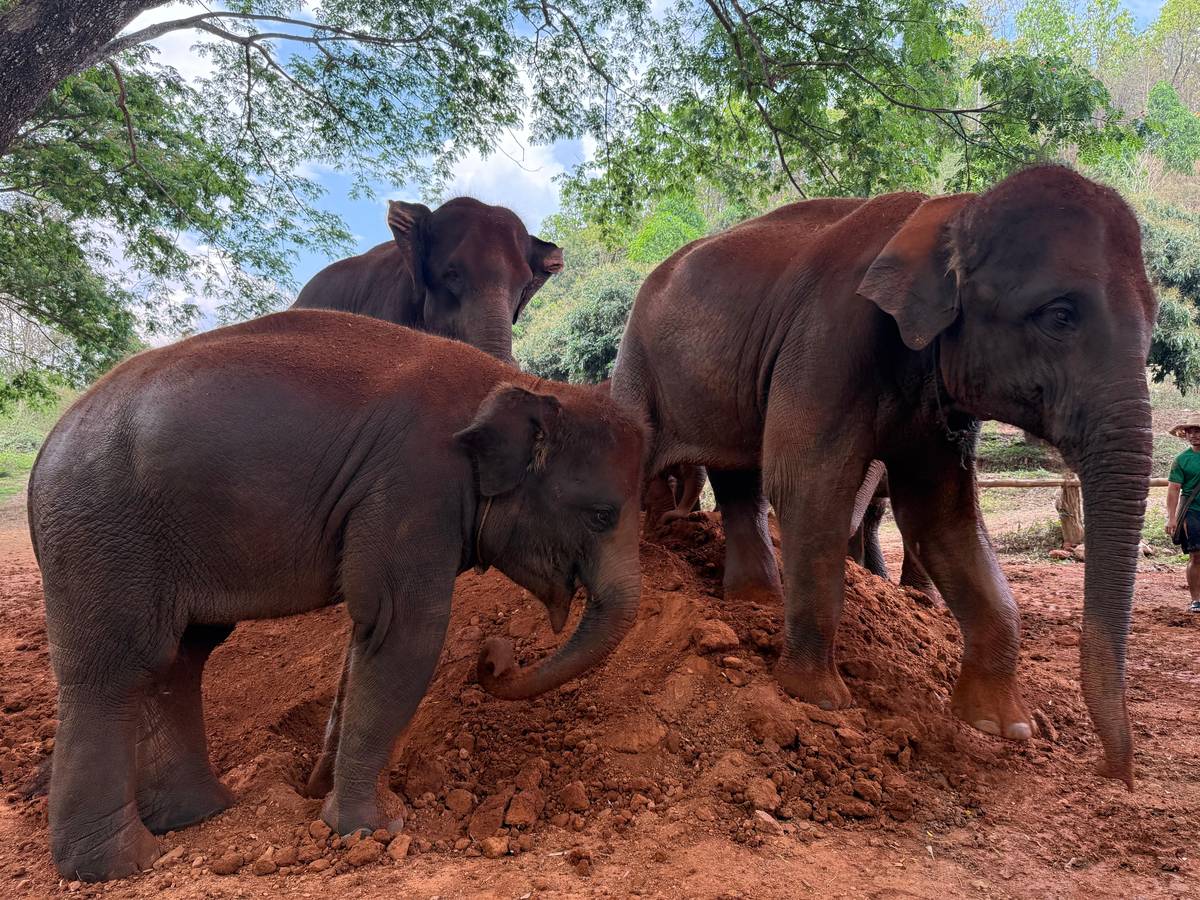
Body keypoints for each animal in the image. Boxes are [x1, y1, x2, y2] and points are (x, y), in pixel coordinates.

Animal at [28, 310, 644, 881]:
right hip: (101, 537)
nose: (492, 658)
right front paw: (370, 829)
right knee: (116, 669)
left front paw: (317, 790)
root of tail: (44, 450)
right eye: (601, 515)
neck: (516, 384)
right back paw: (117, 866)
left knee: (182, 659)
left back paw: (201, 814)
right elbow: (405, 630)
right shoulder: (414, 487)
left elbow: (366, 633)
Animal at [611, 166, 1155, 787]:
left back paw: (755, 603)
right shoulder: (825, 340)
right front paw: (819, 699)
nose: (1118, 774)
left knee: (739, 483)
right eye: (1060, 316)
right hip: (635, 366)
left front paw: (1003, 726)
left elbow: (939, 514)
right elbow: (808, 484)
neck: (947, 212)